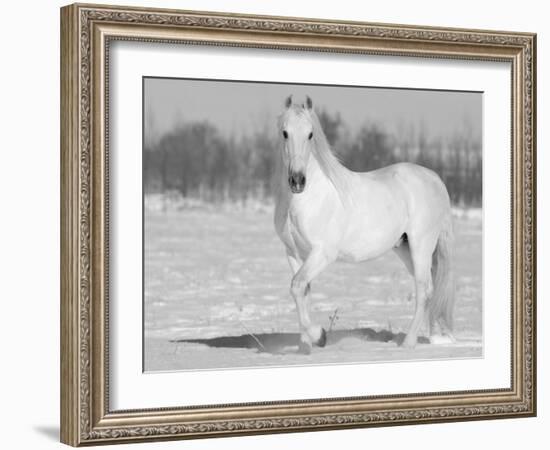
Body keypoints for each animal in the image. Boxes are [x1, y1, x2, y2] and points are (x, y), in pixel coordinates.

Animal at [272, 96, 458, 356]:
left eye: (310, 134)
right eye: (285, 132)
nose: (297, 180)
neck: (307, 199)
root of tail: (435, 179)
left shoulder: (322, 254)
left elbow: (298, 286)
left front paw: (320, 337)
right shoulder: (293, 253)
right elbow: (303, 292)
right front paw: (304, 348)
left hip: (421, 246)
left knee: (424, 290)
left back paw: (408, 343)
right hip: (404, 248)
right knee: (430, 287)